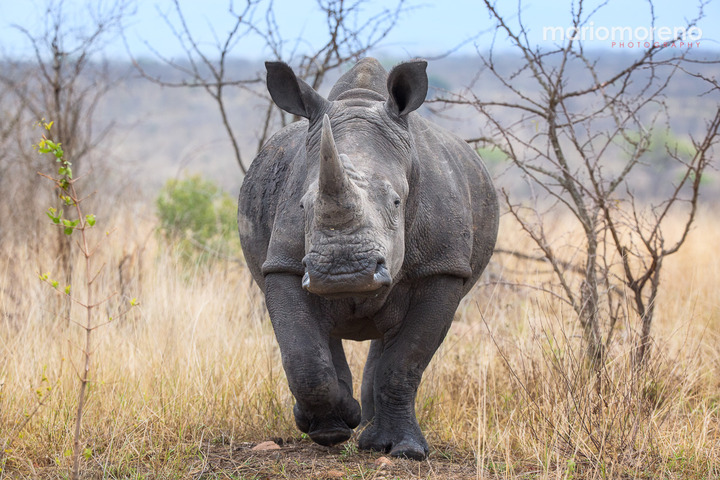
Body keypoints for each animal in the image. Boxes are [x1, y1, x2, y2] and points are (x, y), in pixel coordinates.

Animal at [238, 57, 498, 460]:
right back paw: (340, 420)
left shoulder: (442, 269)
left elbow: (406, 361)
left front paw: (404, 451)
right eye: (303, 206)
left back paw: (371, 433)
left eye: (397, 202)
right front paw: (334, 427)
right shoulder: (283, 264)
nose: (343, 273)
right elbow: (302, 355)